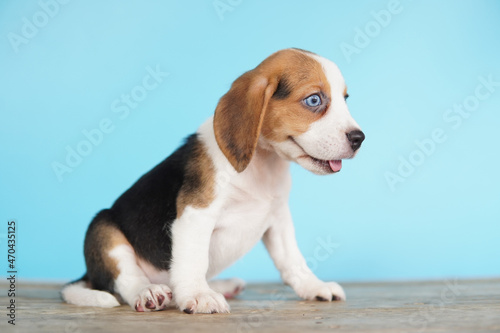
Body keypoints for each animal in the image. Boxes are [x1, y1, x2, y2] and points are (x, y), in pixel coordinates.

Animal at [63, 48, 368, 312]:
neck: (262, 163)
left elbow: (292, 259)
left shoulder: (278, 217)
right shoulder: (196, 214)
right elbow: (194, 259)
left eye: (345, 98)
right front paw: (198, 296)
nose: (359, 139)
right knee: (125, 281)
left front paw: (312, 286)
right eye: (314, 100)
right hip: (104, 229)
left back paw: (221, 285)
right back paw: (149, 292)